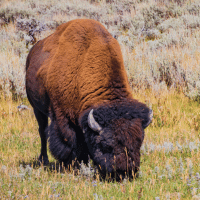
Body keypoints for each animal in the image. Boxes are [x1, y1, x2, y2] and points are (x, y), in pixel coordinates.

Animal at [25, 18, 152, 180]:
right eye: (106, 145)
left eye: (138, 142)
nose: (124, 171)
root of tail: (32, 52)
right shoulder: (63, 117)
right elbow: (69, 141)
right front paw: (73, 165)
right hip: (37, 109)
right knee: (42, 132)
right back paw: (44, 160)